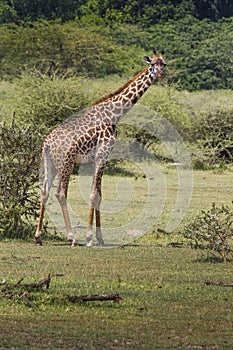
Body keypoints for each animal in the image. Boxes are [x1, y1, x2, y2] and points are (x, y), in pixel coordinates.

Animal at [35, 50, 166, 246]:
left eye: (163, 64)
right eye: (152, 65)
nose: (159, 74)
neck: (114, 115)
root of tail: (47, 143)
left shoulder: (101, 158)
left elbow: (99, 195)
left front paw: (100, 238)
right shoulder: (102, 155)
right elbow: (93, 195)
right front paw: (90, 238)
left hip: (49, 163)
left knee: (44, 191)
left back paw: (38, 237)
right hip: (66, 163)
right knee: (60, 193)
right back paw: (72, 237)